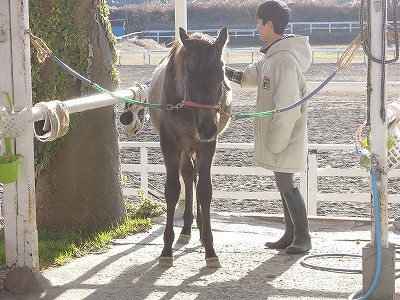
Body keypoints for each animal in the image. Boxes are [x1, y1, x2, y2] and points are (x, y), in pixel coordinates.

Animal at [148, 27, 233, 268]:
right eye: (190, 75)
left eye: (220, 75)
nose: (208, 127)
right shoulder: (169, 143)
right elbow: (172, 189)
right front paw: (166, 249)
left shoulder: (208, 145)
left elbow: (204, 190)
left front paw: (210, 248)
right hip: (185, 147)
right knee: (187, 175)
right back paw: (186, 229)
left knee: (192, 176)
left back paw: (201, 230)